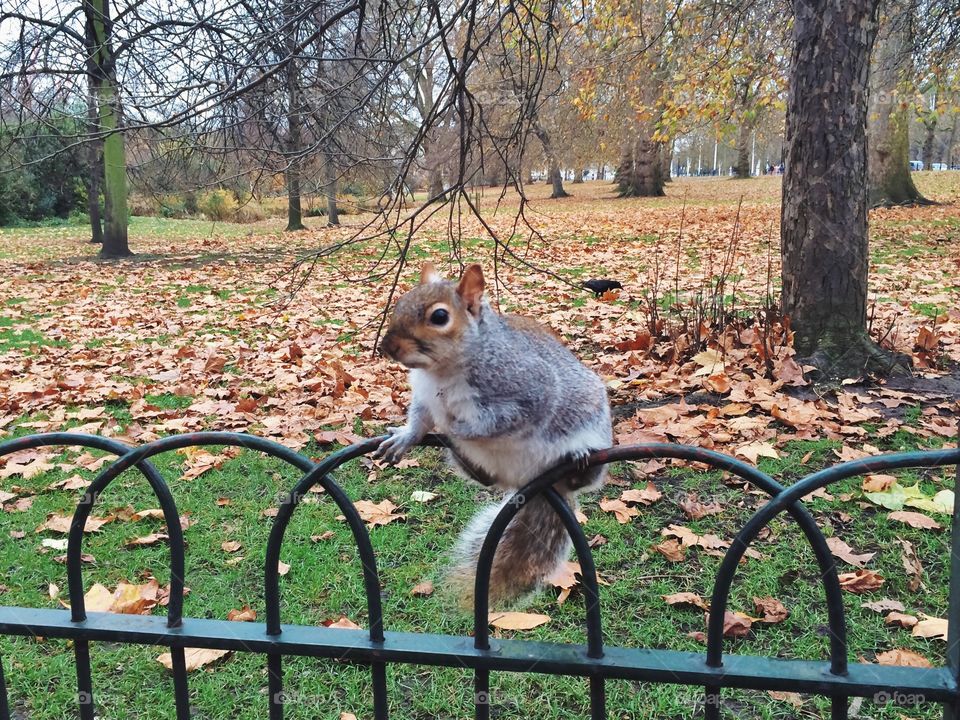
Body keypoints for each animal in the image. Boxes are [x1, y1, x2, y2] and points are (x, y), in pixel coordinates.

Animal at [376, 262, 612, 606]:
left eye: (439, 317)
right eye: (400, 303)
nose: (387, 347)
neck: (443, 371)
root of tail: (538, 481)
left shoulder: (529, 391)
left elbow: (498, 423)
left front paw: (455, 427)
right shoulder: (424, 396)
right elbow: (420, 420)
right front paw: (406, 437)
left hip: (590, 430)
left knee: (584, 477)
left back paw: (580, 457)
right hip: (489, 472)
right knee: (486, 479)